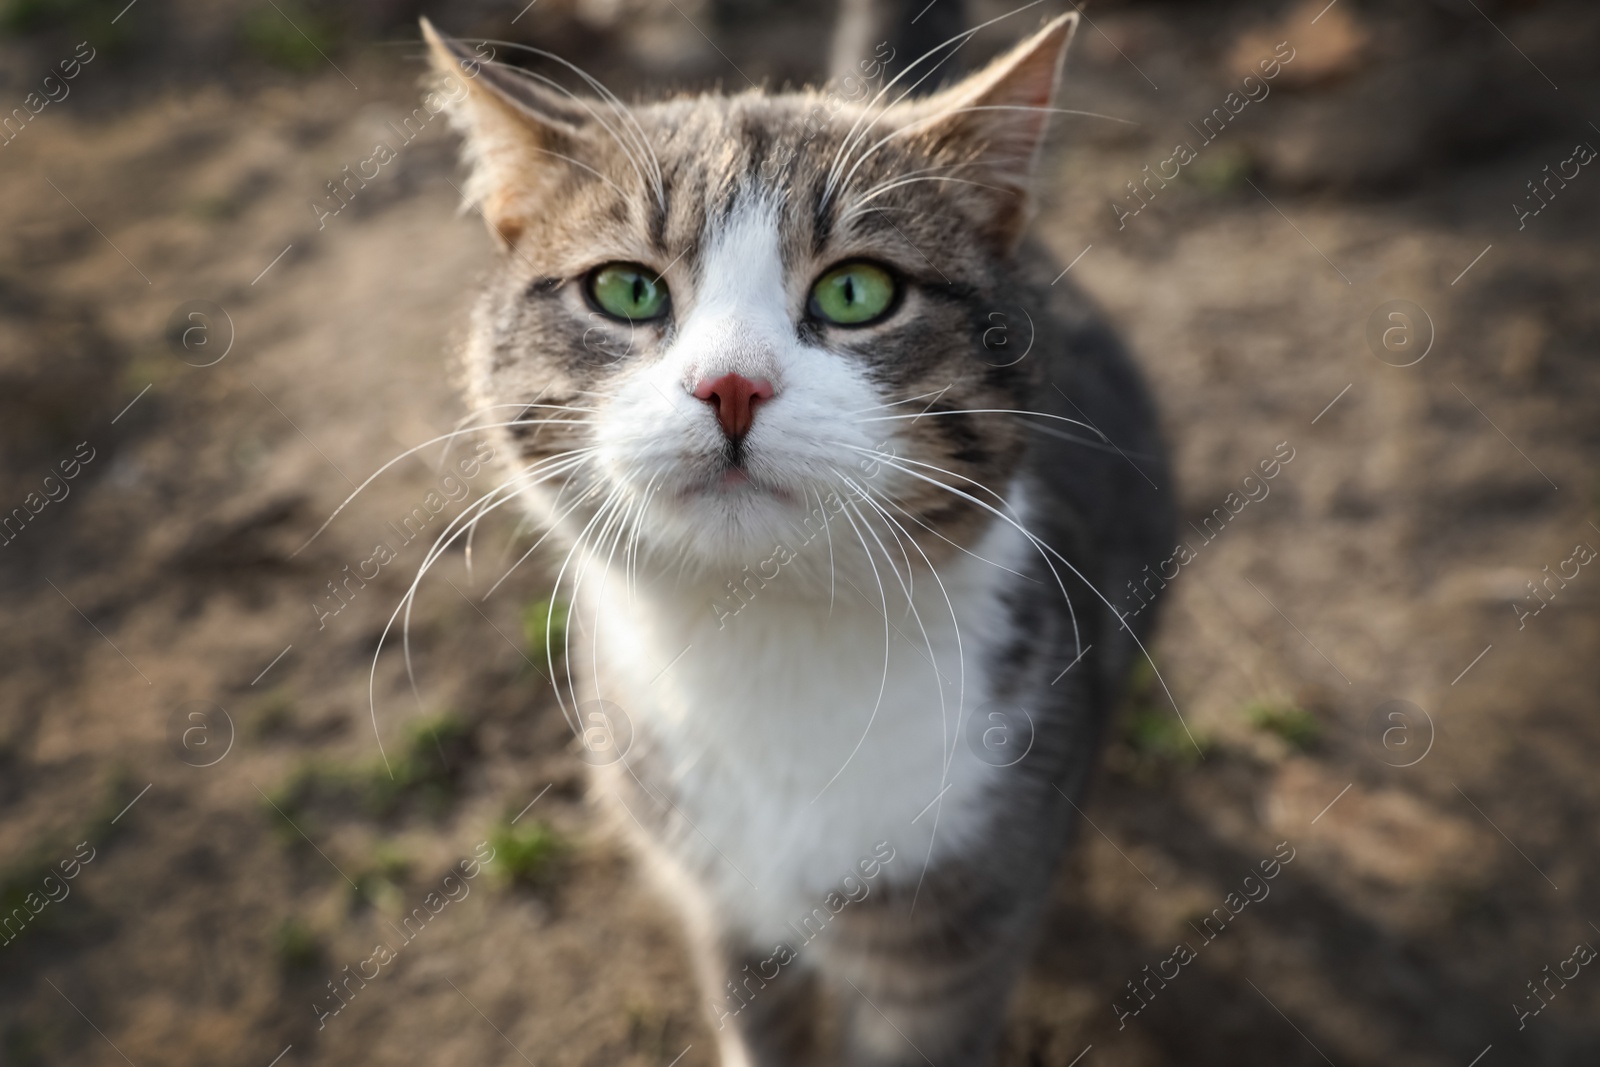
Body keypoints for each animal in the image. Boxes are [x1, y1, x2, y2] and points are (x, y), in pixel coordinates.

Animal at [425, 12, 1177, 1062]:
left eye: (858, 293)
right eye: (626, 291)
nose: (731, 385)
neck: (766, 641)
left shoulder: (958, 928)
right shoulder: (720, 893)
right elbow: (757, 1021)